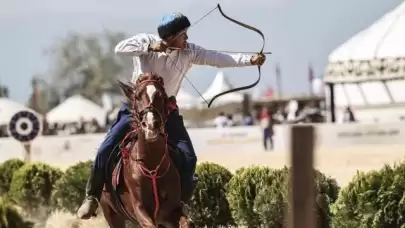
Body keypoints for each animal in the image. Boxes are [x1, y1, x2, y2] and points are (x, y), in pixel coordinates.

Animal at [101, 73, 189, 228]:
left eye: (162, 96)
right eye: (137, 97)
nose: (150, 125)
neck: (152, 166)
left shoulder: (171, 212)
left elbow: (186, 222)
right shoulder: (140, 210)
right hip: (112, 215)